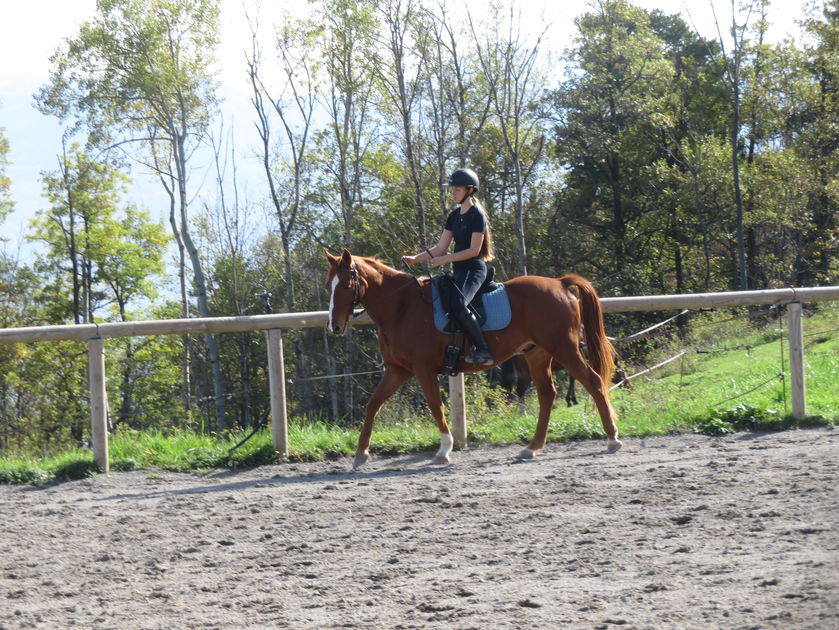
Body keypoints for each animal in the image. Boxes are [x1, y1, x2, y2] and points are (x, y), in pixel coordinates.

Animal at [325, 249, 622, 469]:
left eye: (346, 285)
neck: (401, 308)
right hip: (537, 353)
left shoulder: (423, 369)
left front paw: (444, 450)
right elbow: (373, 405)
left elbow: (436, 407)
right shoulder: (397, 370)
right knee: (547, 394)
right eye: (329, 286)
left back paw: (612, 439)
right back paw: (532, 447)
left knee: (593, 381)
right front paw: (361, 454)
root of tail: (559, 284)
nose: (334, 326)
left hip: (564, 348)